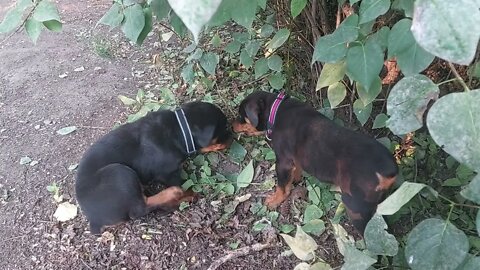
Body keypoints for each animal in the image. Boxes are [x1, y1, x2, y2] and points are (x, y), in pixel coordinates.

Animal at [76, 101, 232, 234]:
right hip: (119, 173)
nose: (232, 135)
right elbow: (184, 186)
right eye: (224, 128)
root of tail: (93, 219)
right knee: (140, 209)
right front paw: (190, 194)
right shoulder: (168, 173)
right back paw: (173, 194)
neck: (179, 130)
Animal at [233, 91, 398, 234]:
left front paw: (275, 200)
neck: (276, 111)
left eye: (241, 115)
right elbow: (296, 169)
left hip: (356, 206)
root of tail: (389, 169)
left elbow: (282, 186)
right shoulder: (294, 158)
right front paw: (296, 179)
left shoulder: (283, 161)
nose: (232, 124)